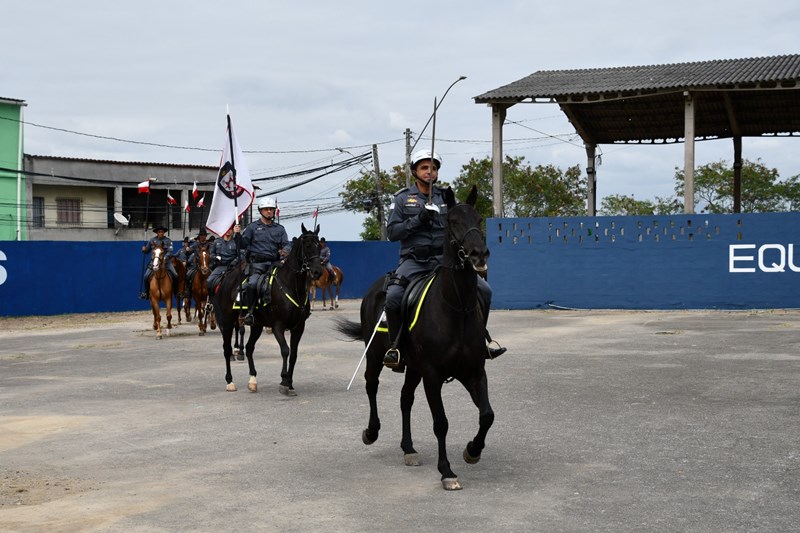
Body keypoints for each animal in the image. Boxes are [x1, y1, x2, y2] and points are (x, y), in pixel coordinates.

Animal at [216, 223, 324, 394]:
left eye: (319, 246)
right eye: (307, 246)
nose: (317, 272)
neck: (291, 285)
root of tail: (227, 277)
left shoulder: (299, 327)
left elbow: (294, 354)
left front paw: (290, 382)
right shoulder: (278, 326)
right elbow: (285, 350)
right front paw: (284, 381)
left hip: (257, 325)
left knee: (249, 348)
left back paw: (252, 380)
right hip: (227, 320)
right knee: (227, 349)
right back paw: (230, 381)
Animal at [336, 185, 494, 488]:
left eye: (479, 219)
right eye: (451, 221)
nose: (478, 254)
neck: (456, 308)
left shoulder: (475, 372)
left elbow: (487, 415)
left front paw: (473, 450)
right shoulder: (432, 375)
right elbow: (441, 423)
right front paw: (447, 471)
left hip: (413, 368)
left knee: (405, 398)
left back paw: (408, 448)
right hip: (376, 355)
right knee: (371, 386)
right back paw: (371, 432)